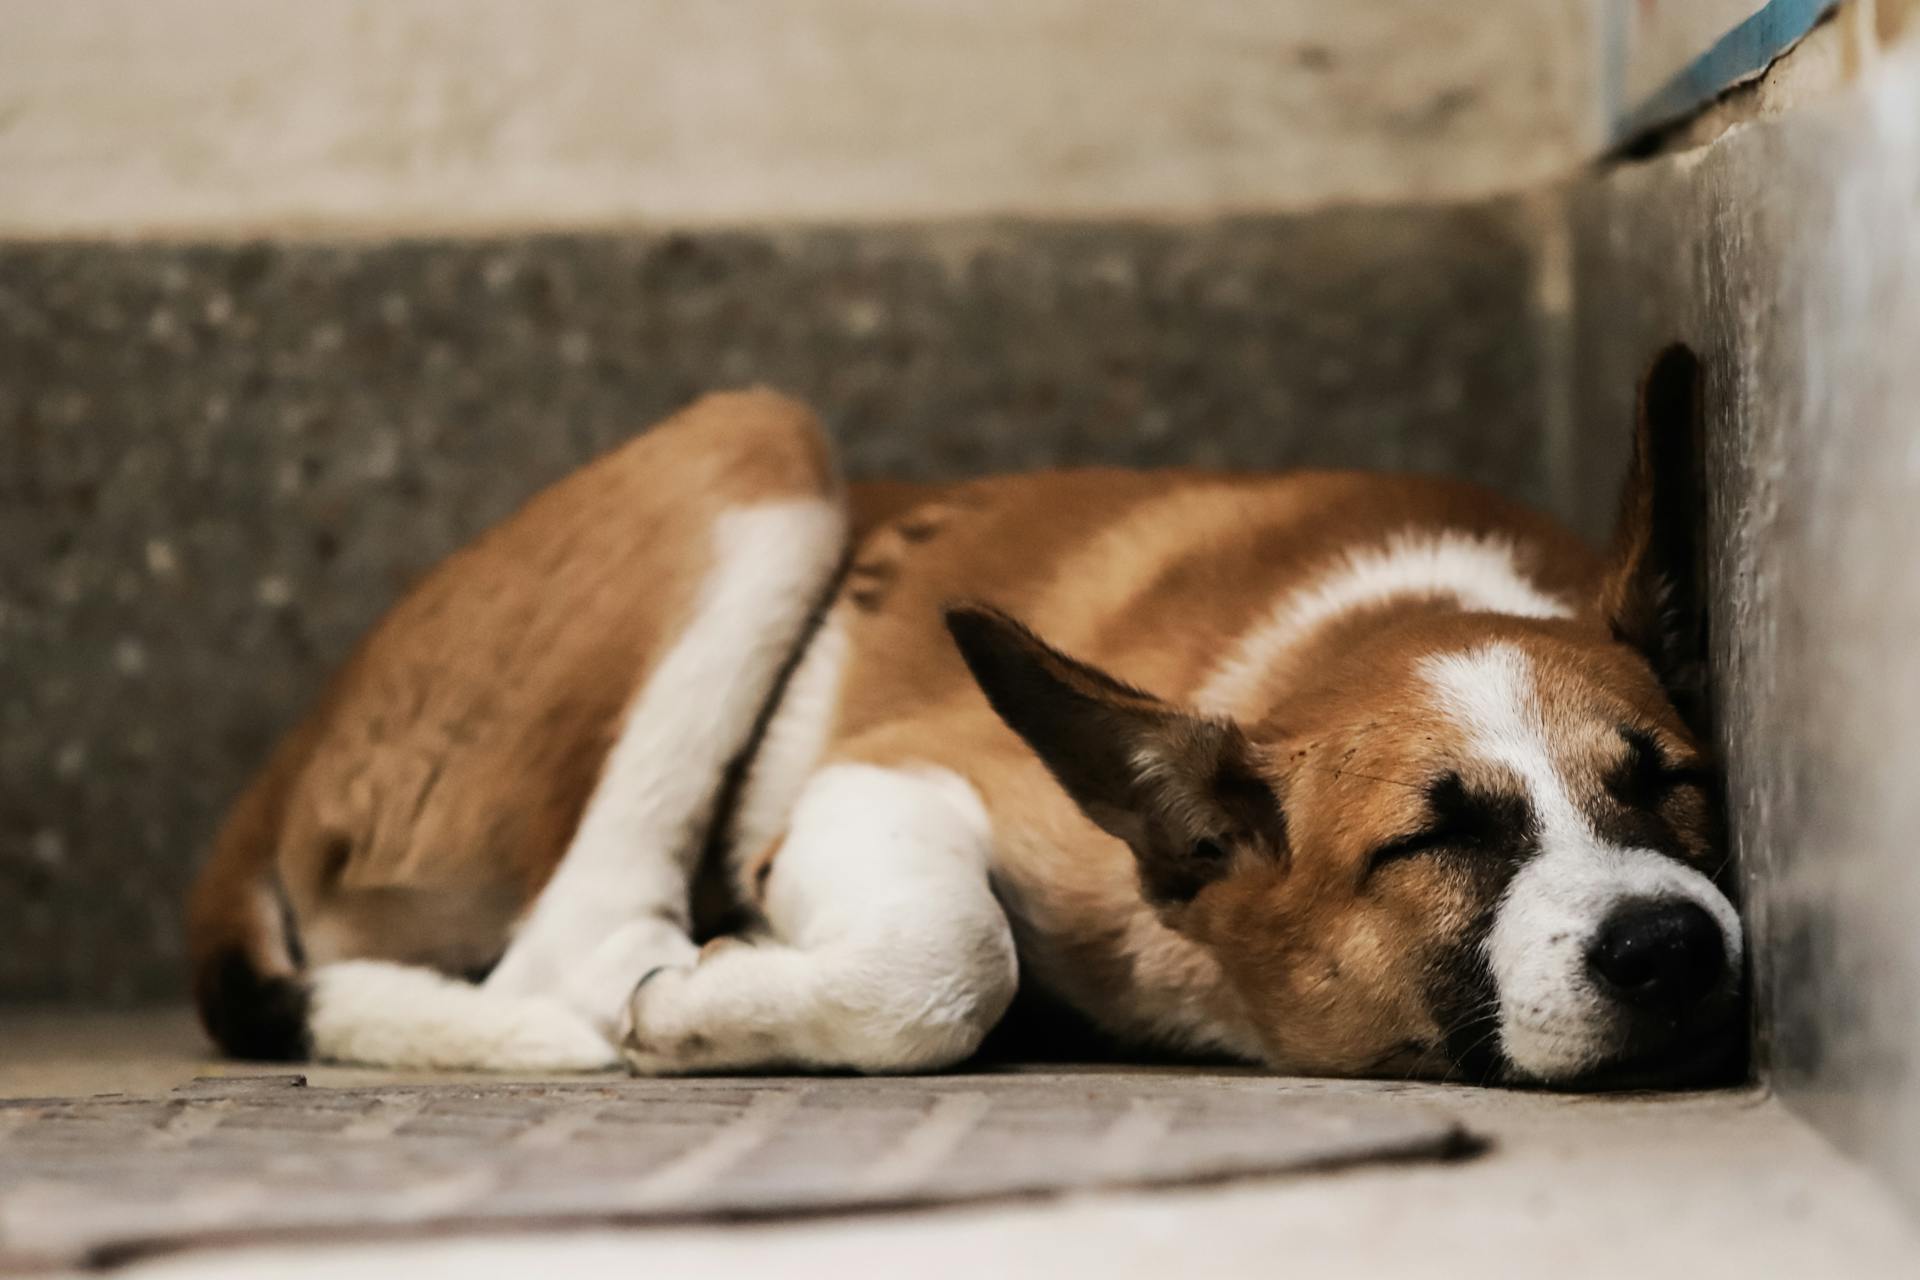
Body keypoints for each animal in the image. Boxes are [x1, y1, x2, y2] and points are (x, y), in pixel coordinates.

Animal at [191, 347, 1743, 1090]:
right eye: (1430, 843)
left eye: (1671, 778)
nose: (1669, 948)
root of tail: (284, 762)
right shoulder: (898, 776)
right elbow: (952, 958)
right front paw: (713, 1004)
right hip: (756, 444)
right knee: (571, 942)